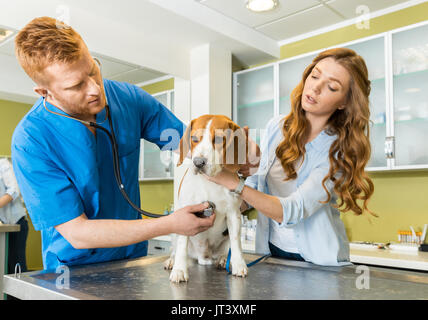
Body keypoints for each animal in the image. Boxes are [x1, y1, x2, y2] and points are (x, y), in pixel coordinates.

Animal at [165, 114, 251, 282]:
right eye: (194, 138)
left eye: (218, 139)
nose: (198, 162)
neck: (210, 181)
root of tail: (203, 257)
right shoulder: (184, 215)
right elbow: (182, 245)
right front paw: (179, 269)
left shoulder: (234, 214)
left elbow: (236, 242)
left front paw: (239, 264)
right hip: (173, 231)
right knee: (176, 248)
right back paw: (172, 260)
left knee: (227, 248)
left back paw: (224, 259)